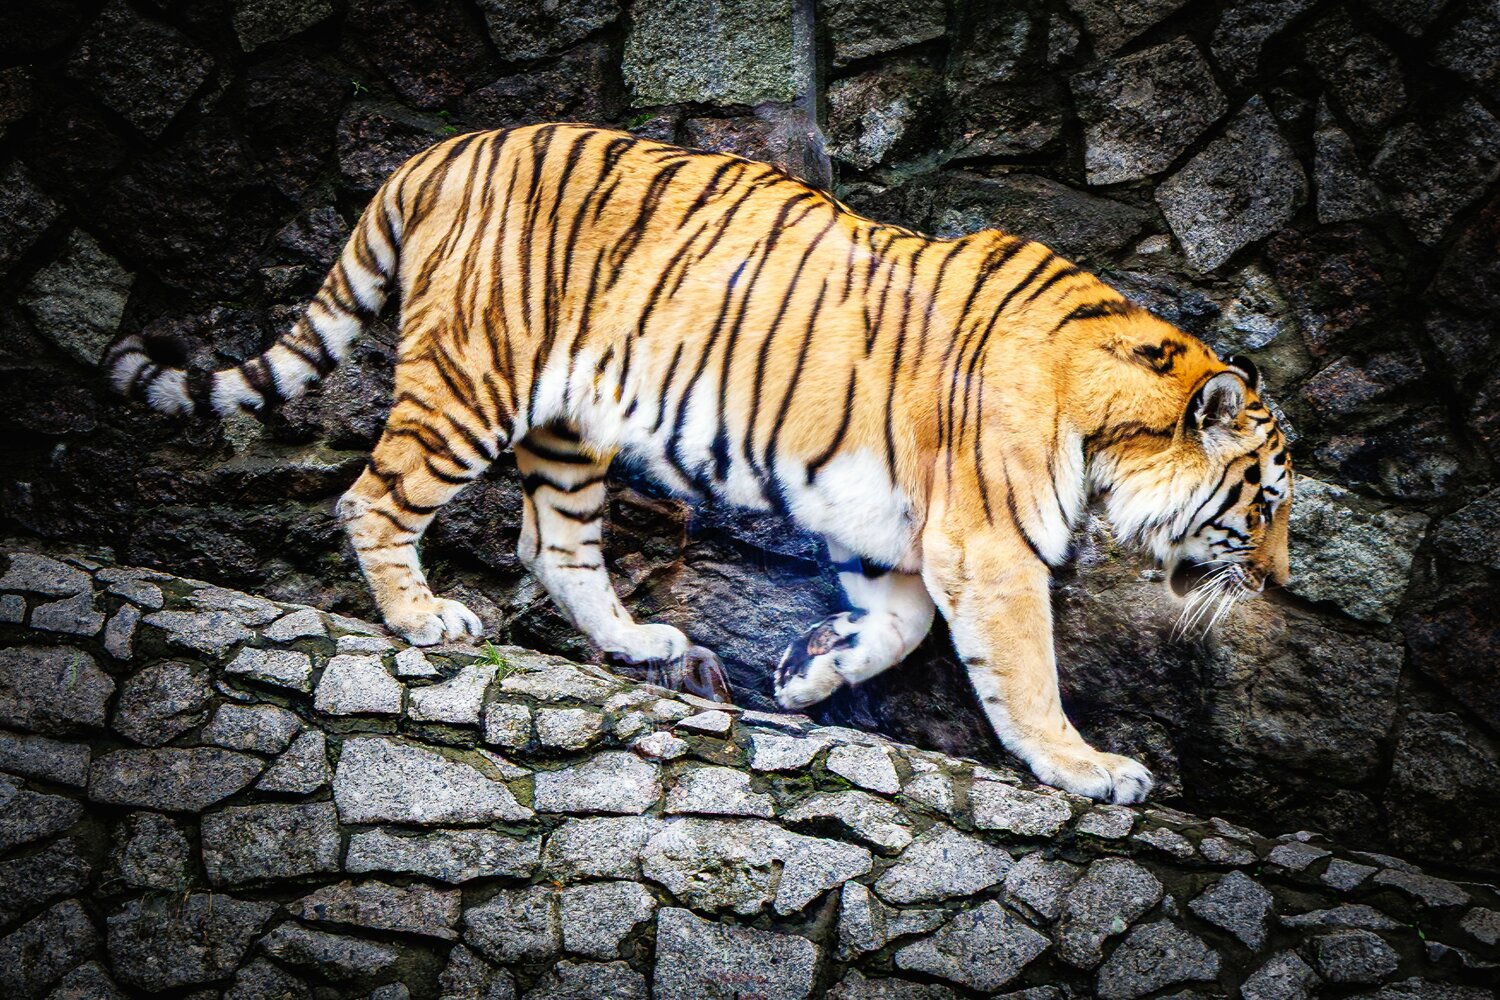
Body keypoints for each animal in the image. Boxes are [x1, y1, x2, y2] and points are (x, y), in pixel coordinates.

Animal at [109, 122, 1293, 804]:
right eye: (1268, 500)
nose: (1280, 584)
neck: (1106, 426)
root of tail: (441, 149)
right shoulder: (989, 548)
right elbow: (1027, 674)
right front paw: (1092, 771)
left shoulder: (901, 536)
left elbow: (898, 628)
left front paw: (806, 674)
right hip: (472, 379)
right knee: (375, 500)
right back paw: (425, 620)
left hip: (570, 427)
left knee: (555, 545)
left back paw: (643, 642)